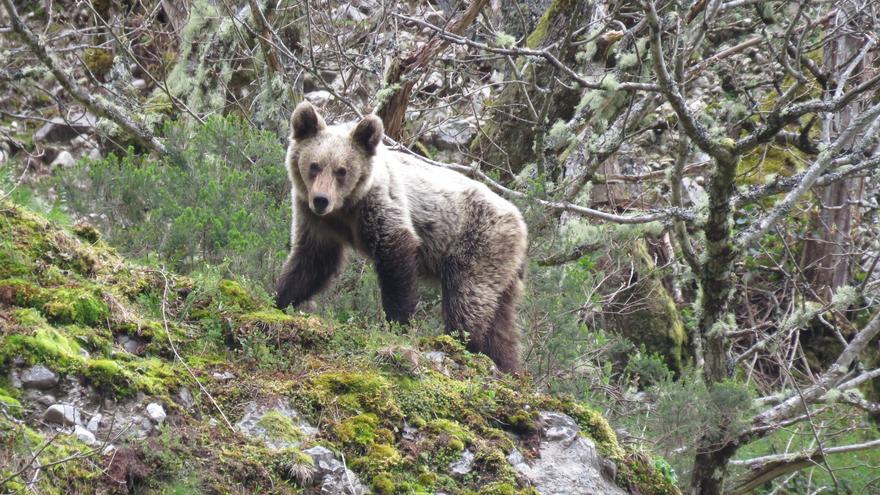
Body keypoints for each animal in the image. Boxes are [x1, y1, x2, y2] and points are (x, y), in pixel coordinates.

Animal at [276, 101, 524, 372]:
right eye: (314, 165)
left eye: (341, 171)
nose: (321, 200)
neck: (347, 207)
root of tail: (520, 222)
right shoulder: (317, 221)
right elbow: (312, 261)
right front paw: (280, 297)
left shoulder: (380, 205)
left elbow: (396, 256)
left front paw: (397, 323)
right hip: (503, 271)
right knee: (501, 325)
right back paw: (508, 365)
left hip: (478, 246)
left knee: (467, 301)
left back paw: (463, 345)